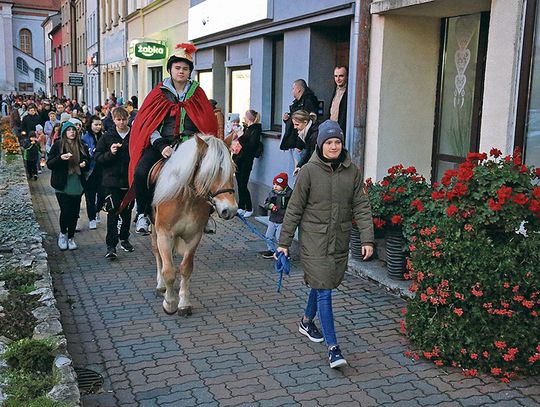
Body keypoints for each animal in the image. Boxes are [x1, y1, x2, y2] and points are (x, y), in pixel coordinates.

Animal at [151, 134, 237, 316]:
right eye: (211, 171)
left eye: (233, 169)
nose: (230, 210)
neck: (186, 198)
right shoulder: (164, 234)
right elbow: (169, 270)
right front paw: (169, 303)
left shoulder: (194, 236)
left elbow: (186, 268)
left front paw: (184, 303)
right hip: (154, 227)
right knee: (157, 253)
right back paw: (161, 285)